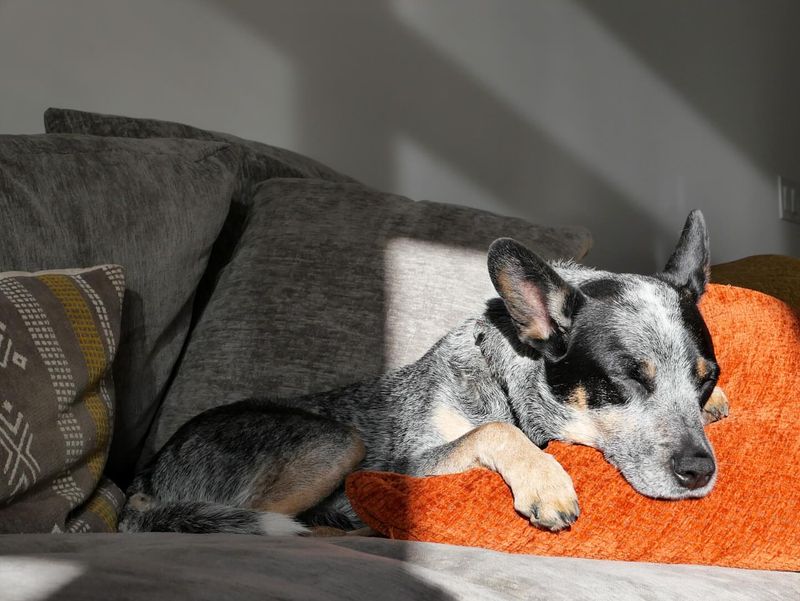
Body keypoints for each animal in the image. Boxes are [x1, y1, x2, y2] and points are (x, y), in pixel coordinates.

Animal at [120, 210, 732, 536]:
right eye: (627, 377)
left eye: (704, 376)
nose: (700, 472)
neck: (506, 386)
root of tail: (144, 480)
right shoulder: (403, 467)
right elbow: (491, 431)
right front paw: (545, 478)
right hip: (336, 443)